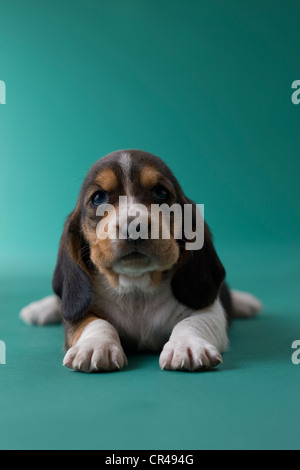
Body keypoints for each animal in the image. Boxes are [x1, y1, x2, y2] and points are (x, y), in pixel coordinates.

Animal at [19, 149, 262, 372]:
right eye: (98, 198)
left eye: (161, 193)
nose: (134, 227)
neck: (136, 287)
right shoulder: (80, 310)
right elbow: (95, 322)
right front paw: (95, 345)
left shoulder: (209, 311)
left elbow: (193, 321)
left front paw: (187, 345)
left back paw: (245, 302)